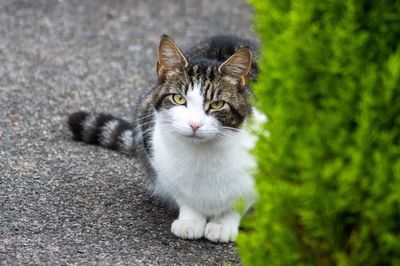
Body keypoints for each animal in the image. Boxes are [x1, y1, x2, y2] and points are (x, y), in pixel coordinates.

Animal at [67, 34, 260, 242]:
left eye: (217, 104)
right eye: (179, 99)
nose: (194, 124)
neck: (201, 155)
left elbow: (238, 202)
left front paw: (223, 224)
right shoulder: (157, 155)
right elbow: (184, 196)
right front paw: (191, 220)